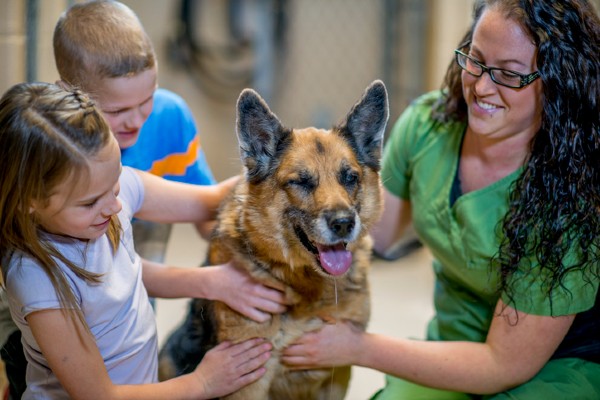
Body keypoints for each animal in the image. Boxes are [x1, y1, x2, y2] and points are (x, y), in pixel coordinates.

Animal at [157, 79, 386, 398]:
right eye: (300, 181)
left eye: (350, 178)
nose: (344, 224)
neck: (305, 286)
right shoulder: (248, 382)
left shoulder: (338, 370)